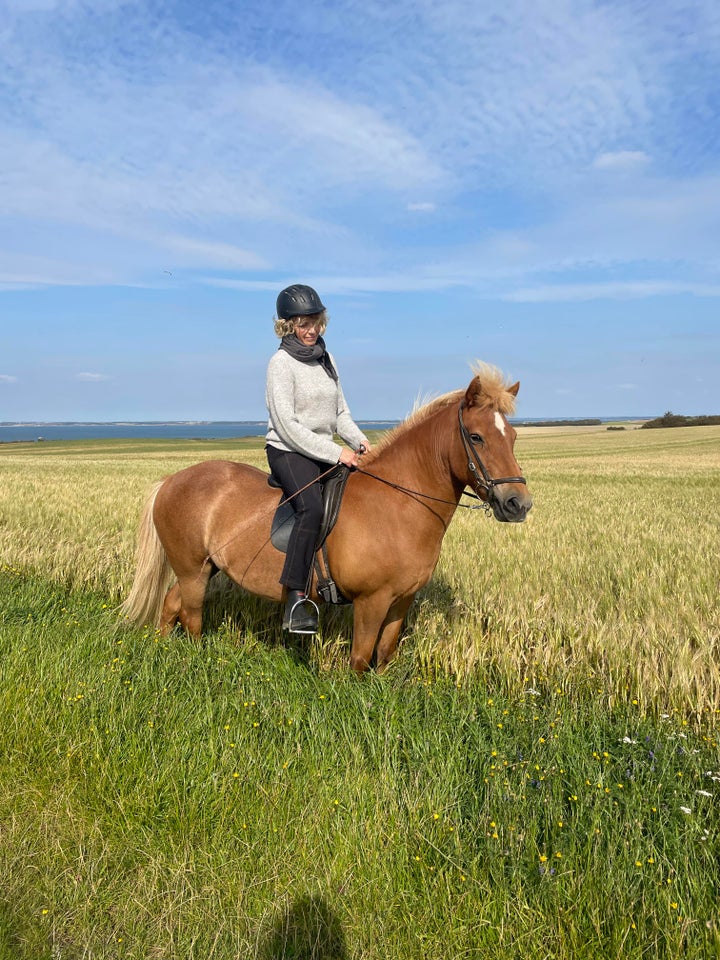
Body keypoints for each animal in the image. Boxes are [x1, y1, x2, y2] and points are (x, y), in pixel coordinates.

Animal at [121, 362, 532, 676]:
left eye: (513, 437)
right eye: (476, 437)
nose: (518, 504)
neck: (399, 505)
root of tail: (171, 480)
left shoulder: (401, 601)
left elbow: (384, 654)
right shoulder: (371, 601)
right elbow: (360, 659)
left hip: (203, 568)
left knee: (170, 606)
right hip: (193, 570)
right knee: (190, 617)